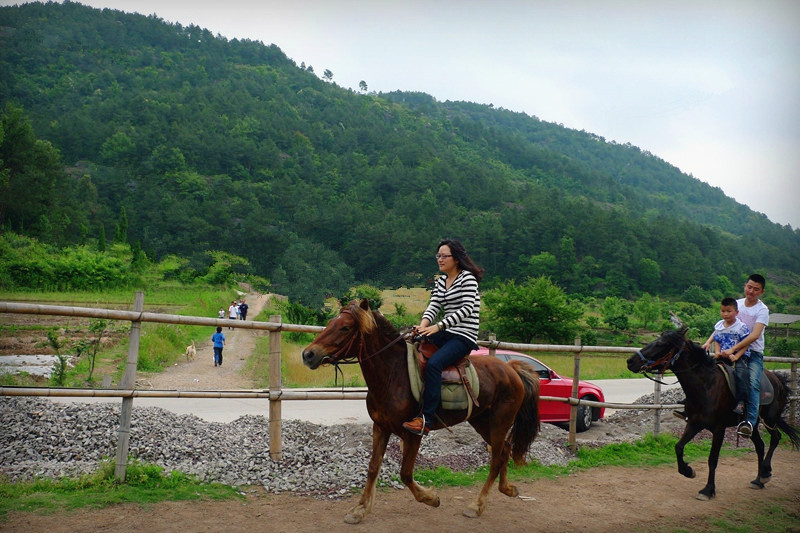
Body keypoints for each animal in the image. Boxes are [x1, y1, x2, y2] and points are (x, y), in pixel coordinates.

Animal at [304, 300, 540, 524]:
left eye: (345, 327)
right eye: (330, 323)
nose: (308, 354)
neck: (393, 374)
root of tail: (512, 370)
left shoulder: (412, 434)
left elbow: (406, 474)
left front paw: (431, 498)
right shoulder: (380, 427)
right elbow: (373, 468)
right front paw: (360, 510)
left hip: (500, 422)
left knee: (496, 458)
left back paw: (477, 505)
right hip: (482, 422)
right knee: (505, 450)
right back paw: (507, 489)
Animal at [628, 326, 796, 500]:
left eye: (660, 343)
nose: (630, 361)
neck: (706, 386)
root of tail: (777, 379)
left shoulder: (719, 429)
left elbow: (712, 459)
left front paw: (708, 490)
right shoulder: (694, 424)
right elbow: (678, 447)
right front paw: (688, 471)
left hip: (770, 419)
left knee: (775, 438)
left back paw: (765, 473)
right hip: (752, 425)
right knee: (760, 445)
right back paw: (758, 480)